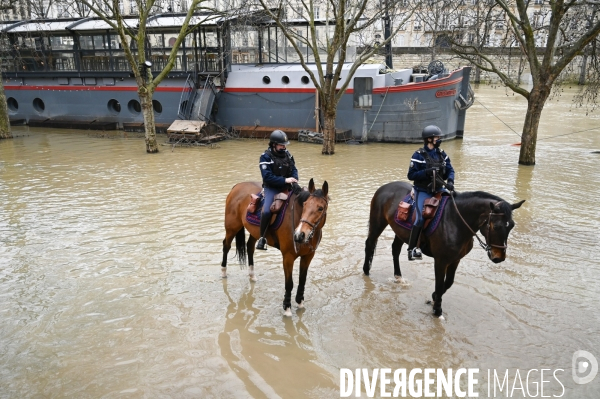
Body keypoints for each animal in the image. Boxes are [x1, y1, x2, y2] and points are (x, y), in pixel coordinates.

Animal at [220, 180, 328, 318]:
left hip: (254, 231)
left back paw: (252, 275)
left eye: (320, 208)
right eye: (305, 204)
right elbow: (289, 283)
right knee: (226, 246)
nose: (299, 235)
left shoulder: (308, 256)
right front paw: (287, 308)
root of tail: (237, 186)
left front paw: (300, 303)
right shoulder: (288, 257)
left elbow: (302, 280)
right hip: (232, 227)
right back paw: (223, 272)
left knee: (250, 247)